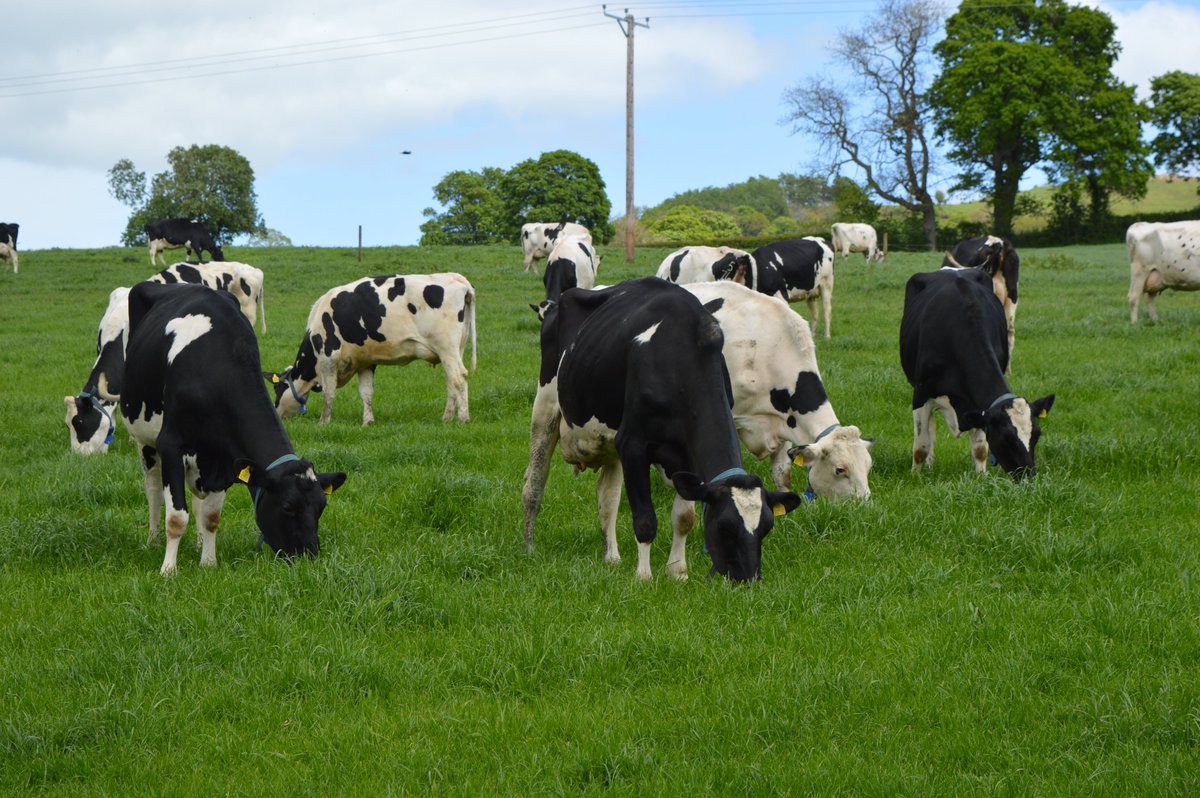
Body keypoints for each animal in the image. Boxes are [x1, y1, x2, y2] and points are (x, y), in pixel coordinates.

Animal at [119, 282, 346, 575]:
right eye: (287, 507)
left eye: (321, 506)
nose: (309, 555)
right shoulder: (171, 444)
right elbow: (177, 517)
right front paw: (168, 570)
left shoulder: (226, 460)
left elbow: (211, 516)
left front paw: (208, 562)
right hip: (145, 439)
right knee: (154, 490)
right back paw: (152, 539)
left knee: (197, 500)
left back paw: (198, 541)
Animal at [269, 273, 476, 426]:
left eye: (277, 388)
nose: (277, 413)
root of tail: (456, 278)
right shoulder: (365, 362)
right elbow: (366, 392)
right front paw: (367, 422)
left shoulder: (328, 358)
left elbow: (329, 393)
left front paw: (323, 422)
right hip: (455, 350)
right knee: (451, 380)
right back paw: (447, 418)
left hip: (446, 347)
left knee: (459, 378)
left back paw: (463, 418)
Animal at [521, 277, 803, 582]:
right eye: (725, 526)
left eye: (766, 528)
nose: (749, 579)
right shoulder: (632, 443)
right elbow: (645, 519)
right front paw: (644, 576)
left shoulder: (685, 455)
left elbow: (684, 518)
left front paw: (677, 571)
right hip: (546, 406)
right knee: (534, 484)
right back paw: (529, 547)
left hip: (608, 438)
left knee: (607, 496)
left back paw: (611, 557)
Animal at [900, 268, 1054, 478]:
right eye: (1005, 438)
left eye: (1036, 435)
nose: (1027, 476)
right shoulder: (921, 394)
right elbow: (920, 447)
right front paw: (916, 476)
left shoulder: (979, 406)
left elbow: (980, 449)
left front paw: (980, 477)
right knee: (930, 430)